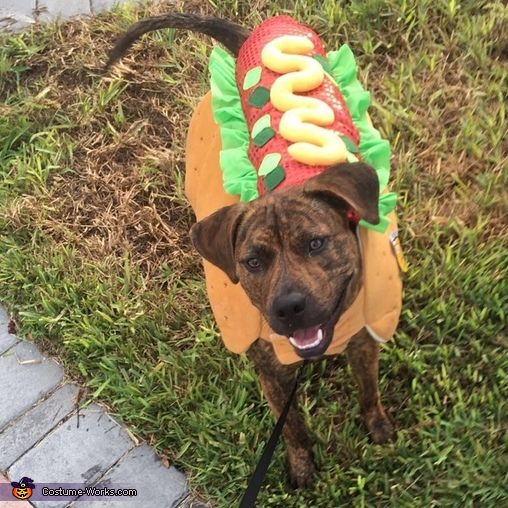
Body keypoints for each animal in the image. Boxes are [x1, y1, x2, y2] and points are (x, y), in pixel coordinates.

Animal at [108, 12, 404, 488]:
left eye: (316, 243)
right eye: (253, 262)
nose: (289, 307)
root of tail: (263, 32)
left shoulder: (364, 340)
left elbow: (369, 389)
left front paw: (378, 427)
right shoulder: (272, 373)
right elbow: (293, 426)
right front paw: (301, 467)